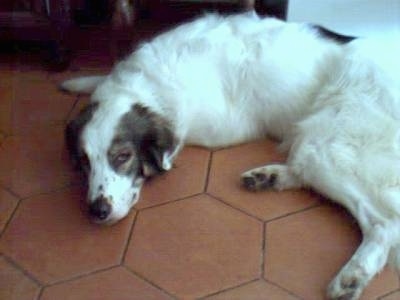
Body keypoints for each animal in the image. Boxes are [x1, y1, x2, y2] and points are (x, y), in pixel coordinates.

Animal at [61, 12, 400, 298]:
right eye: (84, 163)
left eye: (123, 156)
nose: (97, 211)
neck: (149, 84)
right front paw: (76, 82)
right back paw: (268, 177)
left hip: (325, 144)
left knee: (385, 222)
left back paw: (353, 275)